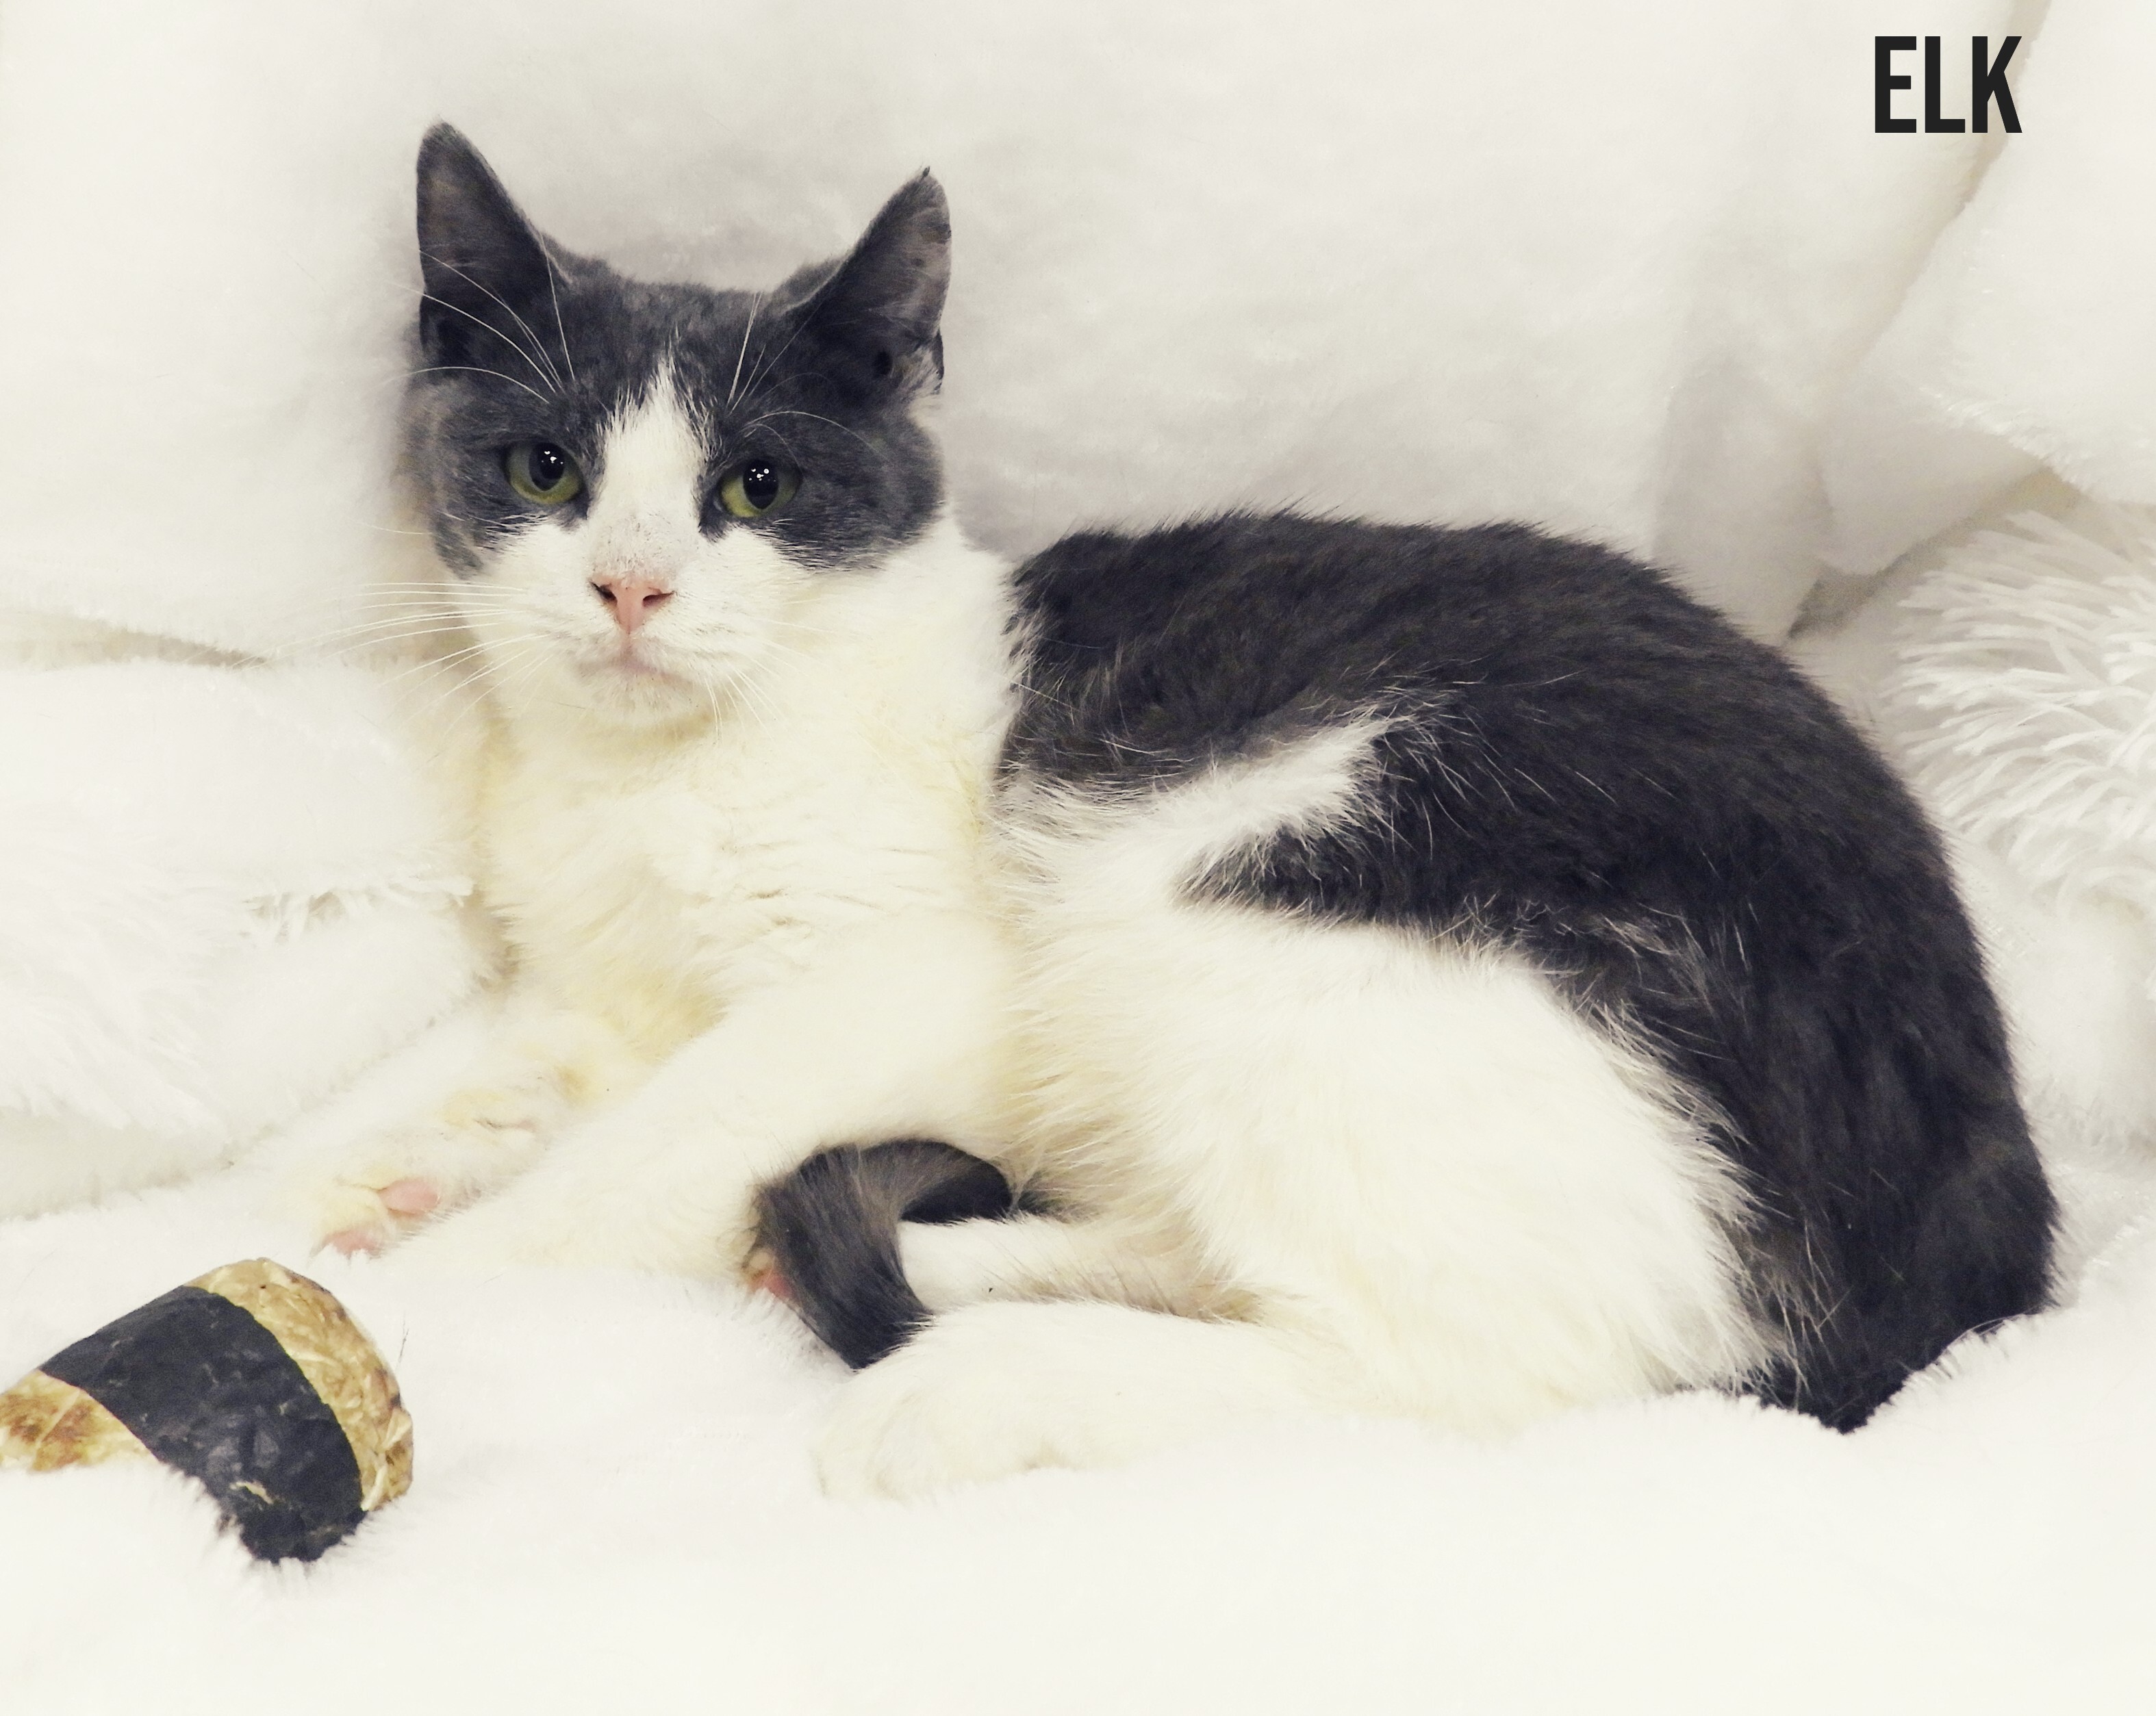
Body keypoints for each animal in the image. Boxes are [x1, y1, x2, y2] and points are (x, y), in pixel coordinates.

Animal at [307, 123, 2054, 1498]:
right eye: (544, 471)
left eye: (756, 487)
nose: (628, 586)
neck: (648, 773)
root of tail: (1978, 1212)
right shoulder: (609, 984)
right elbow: (561, 1072)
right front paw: (404, 1164)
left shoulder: (910, 975)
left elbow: (669, 1133)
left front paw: (448, 1283)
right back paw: (973, 1264)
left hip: (1237, 908)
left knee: (1447, 1369)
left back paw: (987, 1377)